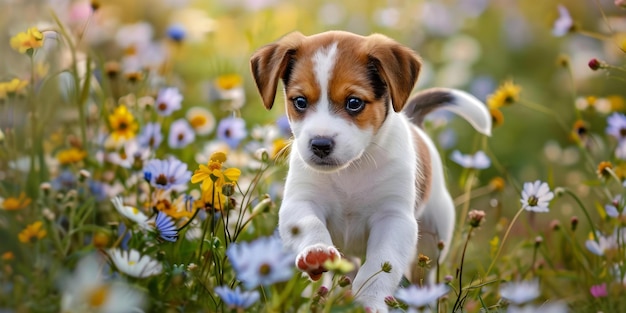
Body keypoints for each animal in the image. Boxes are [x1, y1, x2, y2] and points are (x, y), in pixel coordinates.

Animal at [247, 31, 488, 310]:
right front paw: (317, 253)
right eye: (300, 101)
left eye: (354, 103)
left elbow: (380, 266)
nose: (320, 144)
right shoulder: (300, 202)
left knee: (425, 279)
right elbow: (310, 225)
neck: (351, 171)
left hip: (433, 240)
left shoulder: (393, 219)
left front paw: (369, 301)